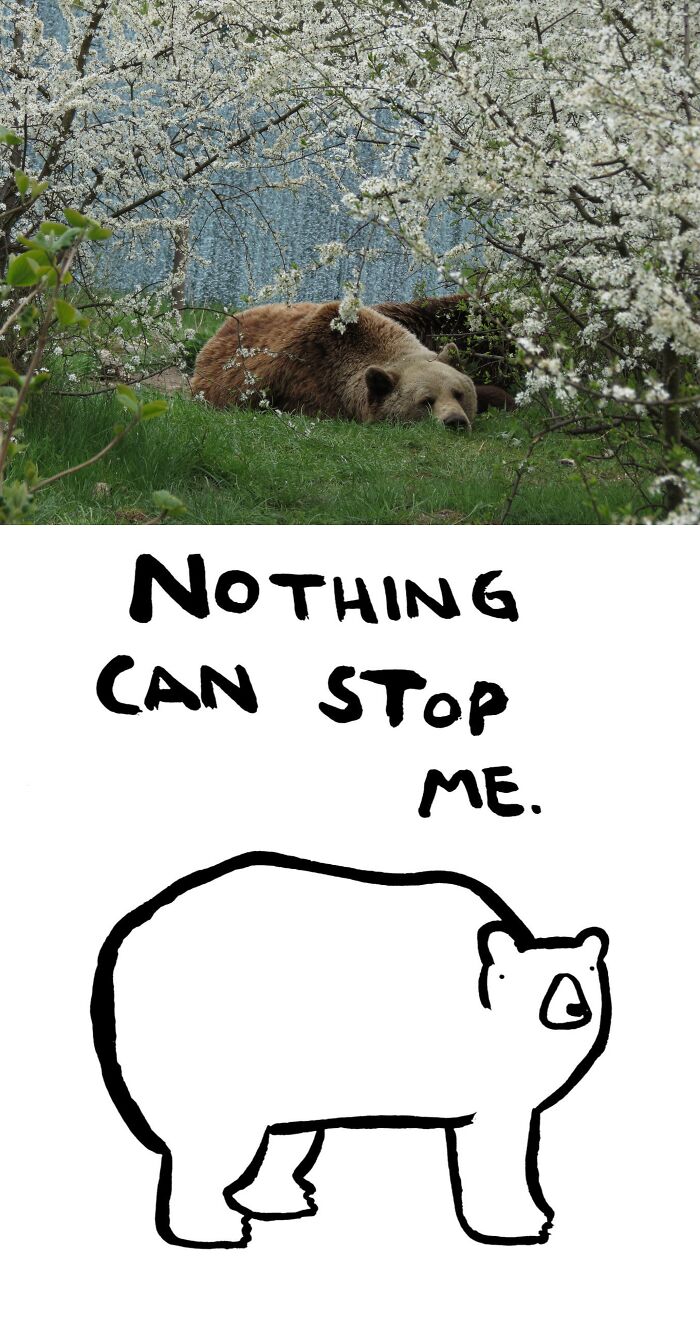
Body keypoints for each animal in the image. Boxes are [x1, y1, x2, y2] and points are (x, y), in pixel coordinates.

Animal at [91, 852, 610, 1250]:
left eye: (582, 975)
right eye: (541, 982)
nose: (572, 1009)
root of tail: (132, 934)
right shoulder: (485, 1067)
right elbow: (498, 1139)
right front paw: (522, 1225)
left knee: (287, 1132)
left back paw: (283, 1200)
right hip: (212, 1040)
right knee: (215, 1136)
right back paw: (218, 1229)